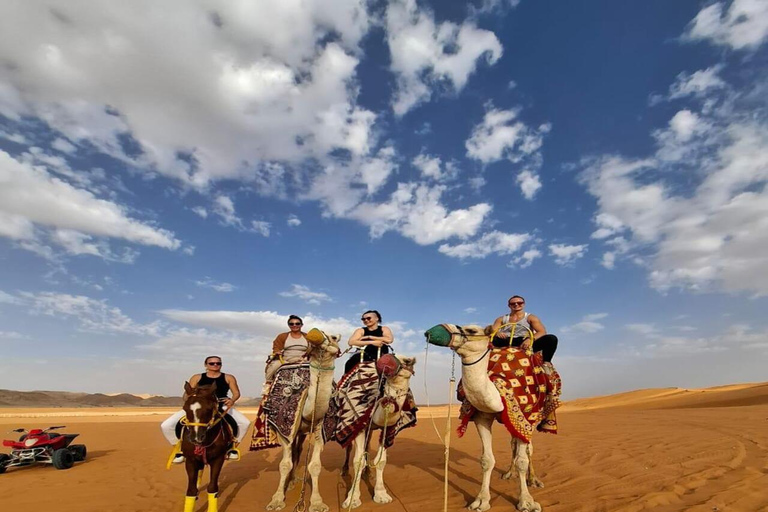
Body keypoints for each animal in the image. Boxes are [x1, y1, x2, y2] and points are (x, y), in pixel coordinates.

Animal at [182, 382, 232, 512]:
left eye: (209, 409)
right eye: (185, 408)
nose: (196, 437)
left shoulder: (218, 459)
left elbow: (212, 488)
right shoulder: (190, 460)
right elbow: (191, 490)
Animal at [266, 328, 340, 512]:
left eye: (334, 337)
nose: (316, 334)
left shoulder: (321, 428)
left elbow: (315, 466)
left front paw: (317, 503)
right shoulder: (284, 429)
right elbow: (284, 464)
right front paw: (276, 500)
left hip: (302, 432)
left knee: (298, 451)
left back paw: (293, 481)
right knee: (293, 453)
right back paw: (289, 483)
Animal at [340, 356, 414, 508]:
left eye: (410, 362)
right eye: (388, 361)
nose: (407, 361)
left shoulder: (388, 428)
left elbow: (381, 460)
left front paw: (381, 494)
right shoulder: (359, 424)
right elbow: (358, 460)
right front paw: (352, 499)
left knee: (367, 446)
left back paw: (368, 473)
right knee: (349, 447)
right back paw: (345, 470)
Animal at [440, 324, 544, 512]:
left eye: (472, 330)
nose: (447, 330)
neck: (498, 385)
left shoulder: (524, 418)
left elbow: (522, 460)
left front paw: (527, 502)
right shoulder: (481, 418)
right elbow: (487, 460)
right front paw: (481, 501)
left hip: (533, 419)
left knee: (528, 449)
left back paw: (533, 480)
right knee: (513, 444)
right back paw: (509, 473)